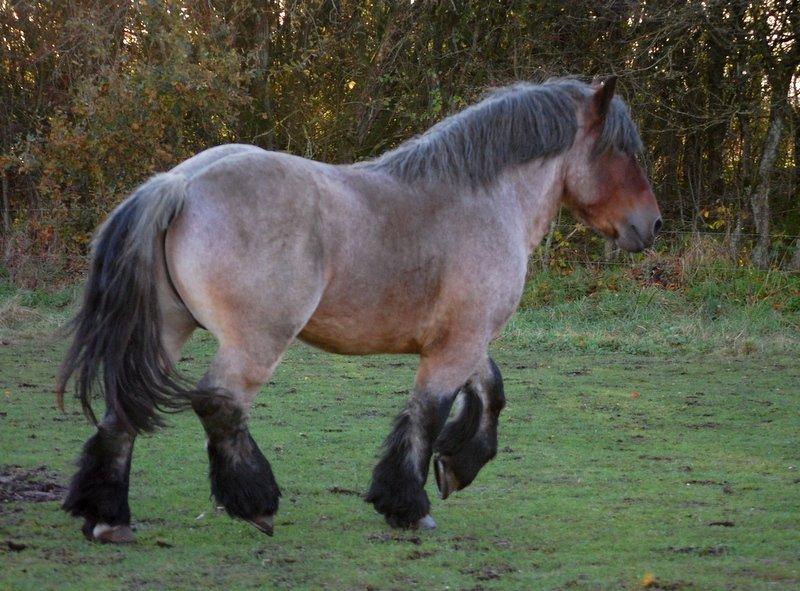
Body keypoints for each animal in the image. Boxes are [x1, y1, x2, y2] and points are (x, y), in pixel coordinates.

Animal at [57, 76, 664, 544]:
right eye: (622, 150)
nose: (652, 224)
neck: (485, 200)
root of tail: (180, 182)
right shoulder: (458, 343)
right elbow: (428, 413)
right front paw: (409, 505)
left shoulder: (466, 340)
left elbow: (490, 392)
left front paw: (456, 466)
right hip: (256, 341)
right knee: (219, 402)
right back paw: (255, 502)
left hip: (169, 327)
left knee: (123, 408)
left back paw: (108, 518)